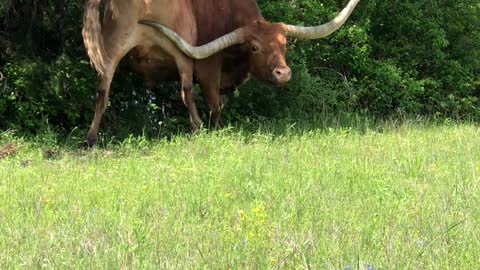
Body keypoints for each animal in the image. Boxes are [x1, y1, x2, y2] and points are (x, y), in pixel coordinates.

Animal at [83, 0, 360, 147]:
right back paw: (197, 128)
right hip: (181, 51)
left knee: (102, 91)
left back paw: (91, 138)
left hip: (110, 48)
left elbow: (221, 101)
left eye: (284, 44)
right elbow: (213, 102)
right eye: (254, 47)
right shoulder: (209, 65)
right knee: (186, 91)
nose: (283, 73)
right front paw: (219, 130)